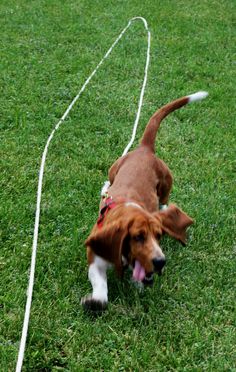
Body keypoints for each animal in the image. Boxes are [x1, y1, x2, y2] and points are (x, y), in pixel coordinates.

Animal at [82, 91, 207, 310]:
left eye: (159, 236)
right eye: (138, 237)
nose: (160, 262)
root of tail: (145, 149)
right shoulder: (95, 257)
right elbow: (100, 284)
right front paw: (96, 300)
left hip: (166, 182)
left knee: (164, 199)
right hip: (115, 168)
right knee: (109, 179)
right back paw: (105, 188)